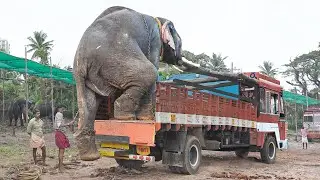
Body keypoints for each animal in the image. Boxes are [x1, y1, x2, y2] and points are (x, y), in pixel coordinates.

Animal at [73, 5, 182, 161]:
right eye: (180, 42)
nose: (179, 58)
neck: (159, 19)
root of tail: (81, 57)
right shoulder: (154, 40)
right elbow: (154, 66)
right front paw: (147, 118)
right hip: (114, 57)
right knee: (148, 72)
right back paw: (126, 117)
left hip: (88, 75)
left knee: (90, 103)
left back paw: (90, 156)